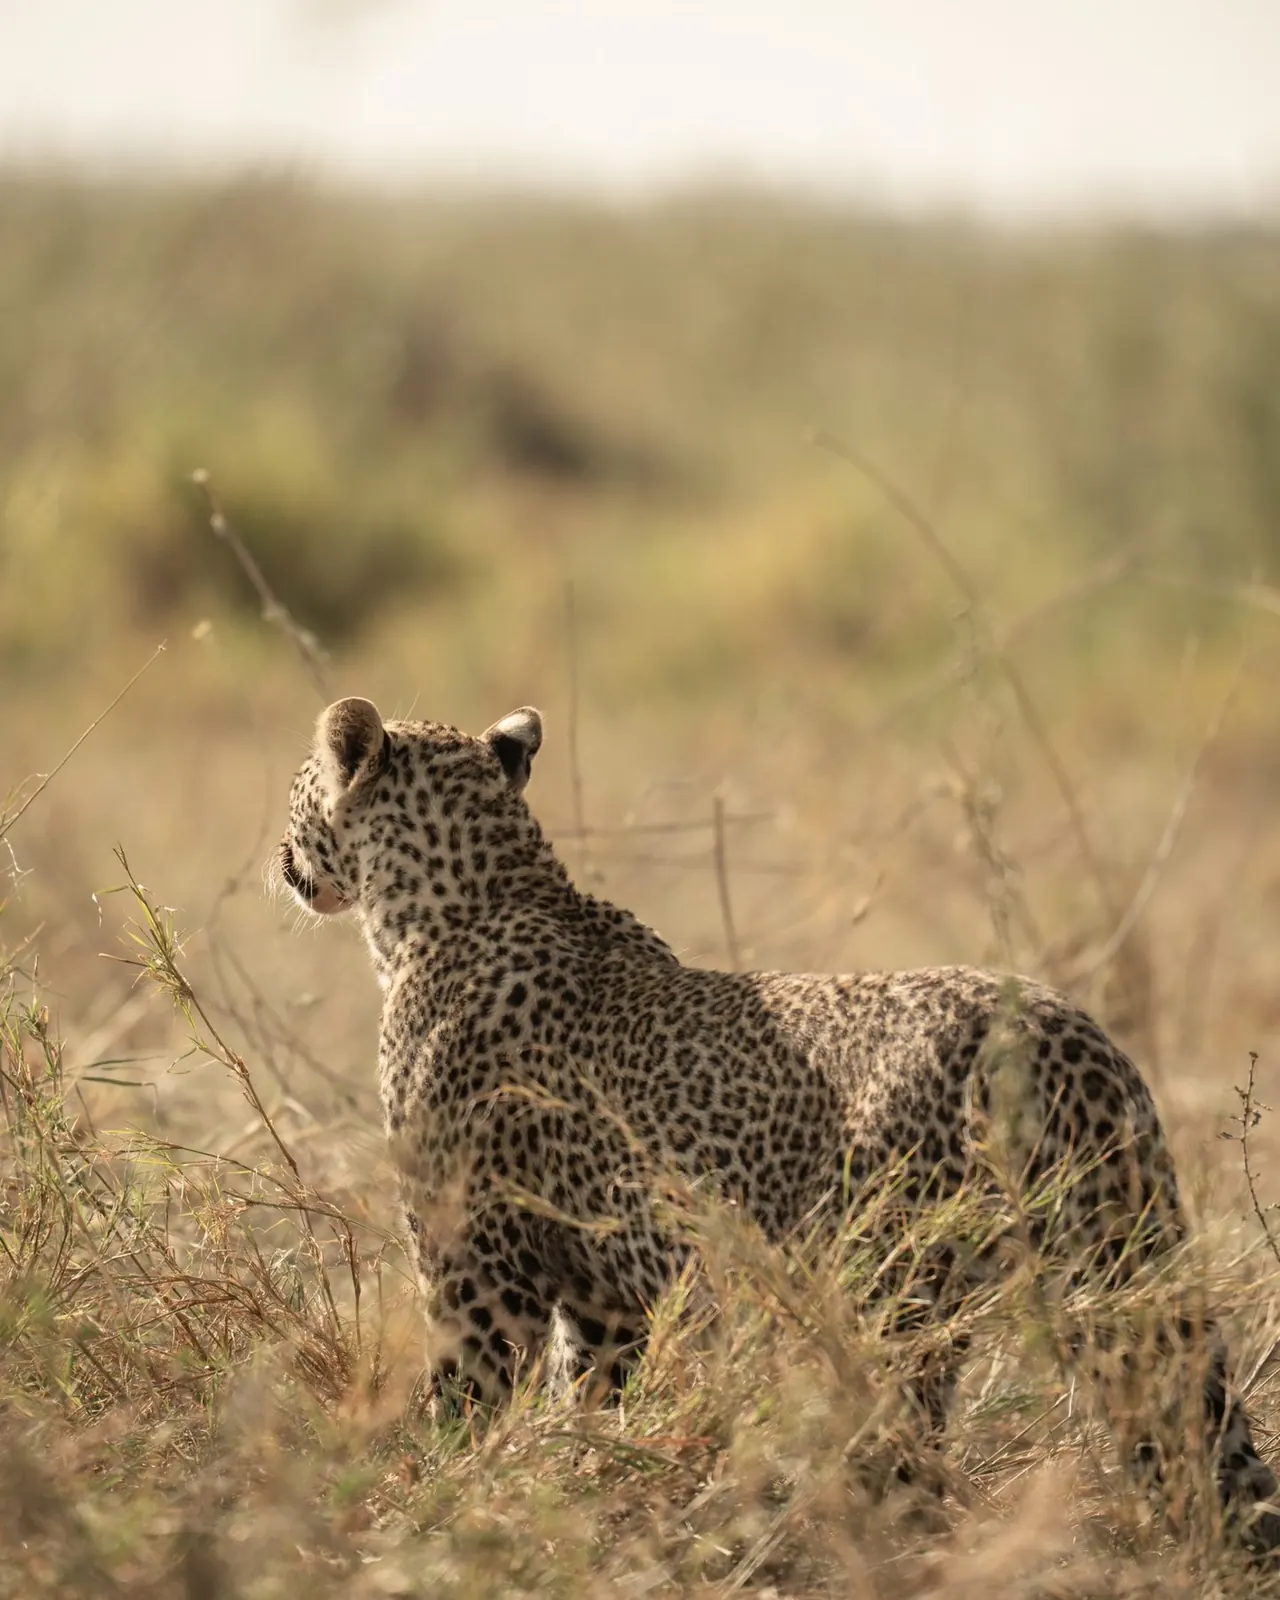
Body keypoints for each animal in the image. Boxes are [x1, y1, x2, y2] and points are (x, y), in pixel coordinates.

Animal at [277, 694, 1279, 1550]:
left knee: (907, 1449)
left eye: (297, 787)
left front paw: (450, 1491)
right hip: (1119, 1256)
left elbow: (469, 1398)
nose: (279, 856)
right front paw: (579, 1481)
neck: (456, 903)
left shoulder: (475, 1263)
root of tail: (1061, 1034)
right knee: (1191, 1428)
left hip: (889, 1289)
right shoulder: (603, 1293)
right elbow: (592, 1396)